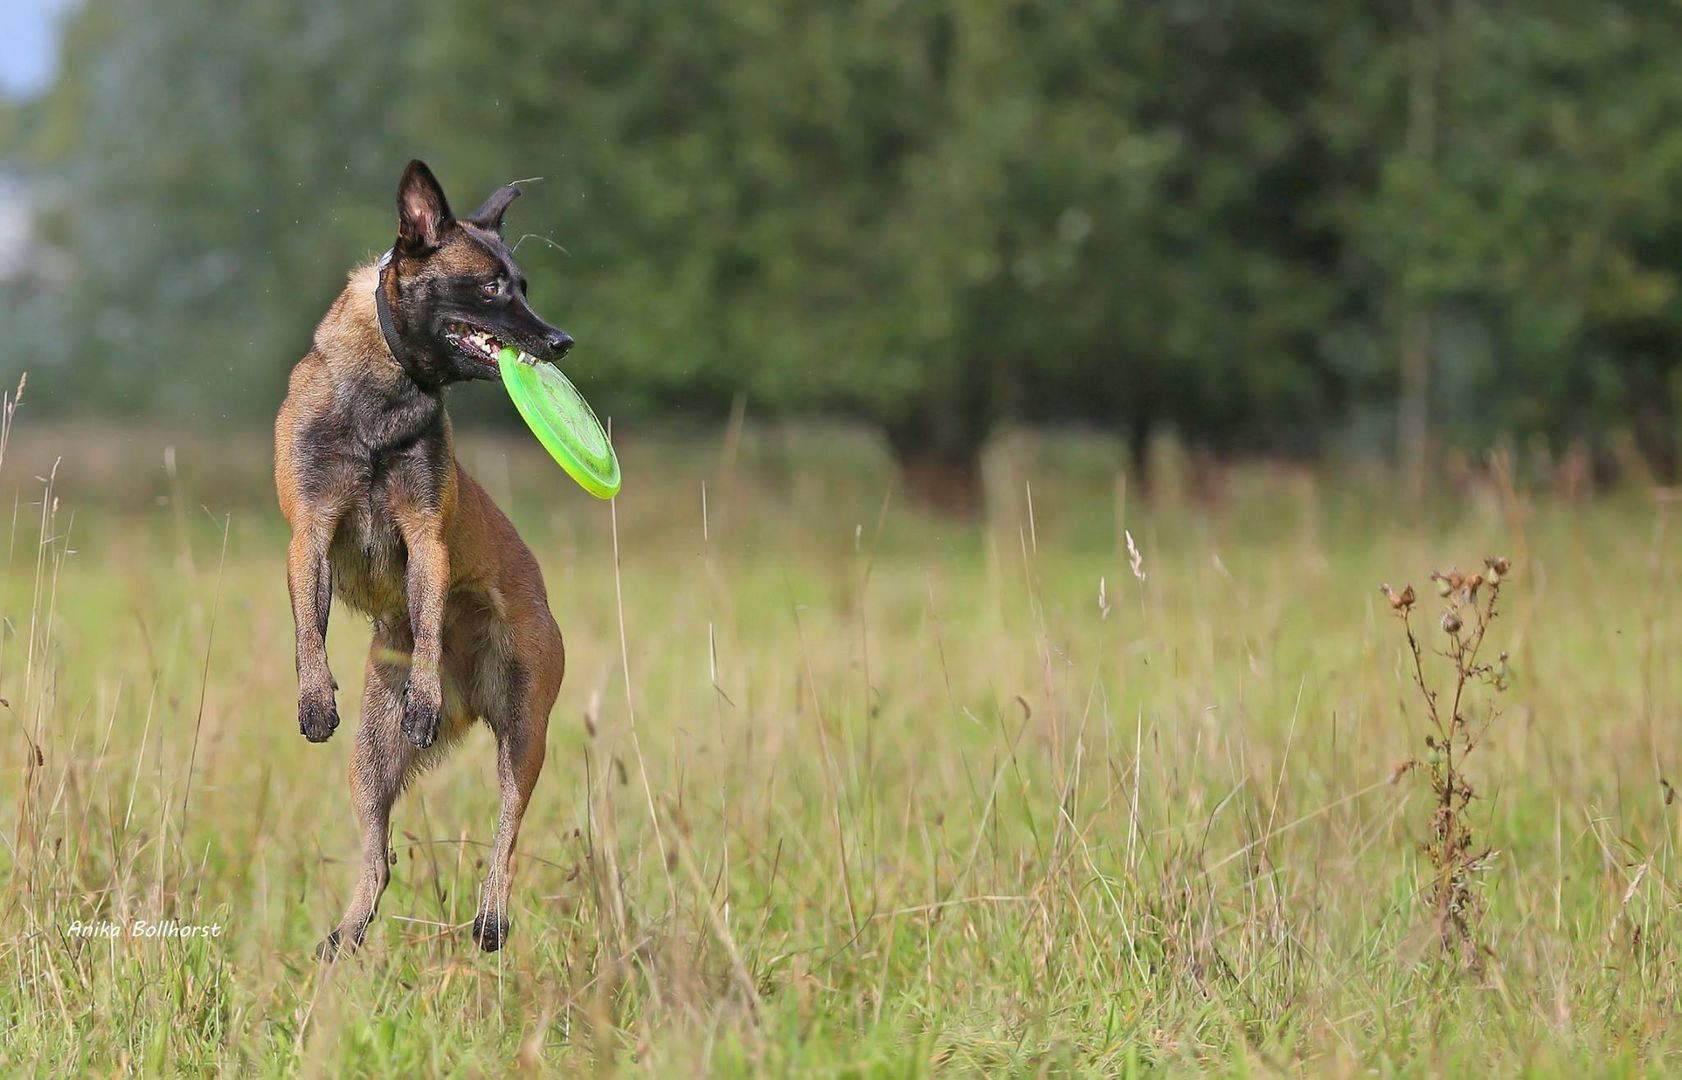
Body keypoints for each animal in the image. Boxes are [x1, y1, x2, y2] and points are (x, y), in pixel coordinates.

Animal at [270, 158, 571, 948]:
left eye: (524, 283)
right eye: (492, 287)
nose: (561, 341)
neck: (386, 391)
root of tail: (473, 700)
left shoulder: (426, 538)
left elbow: (430, 624)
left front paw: (426, 698)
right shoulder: (309, 531)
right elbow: (307, 629)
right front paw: (314, 698)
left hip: (524, 728)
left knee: (506, 832)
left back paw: (490, 918)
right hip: (372, 755)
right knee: (379, 855)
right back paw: (344, 938)